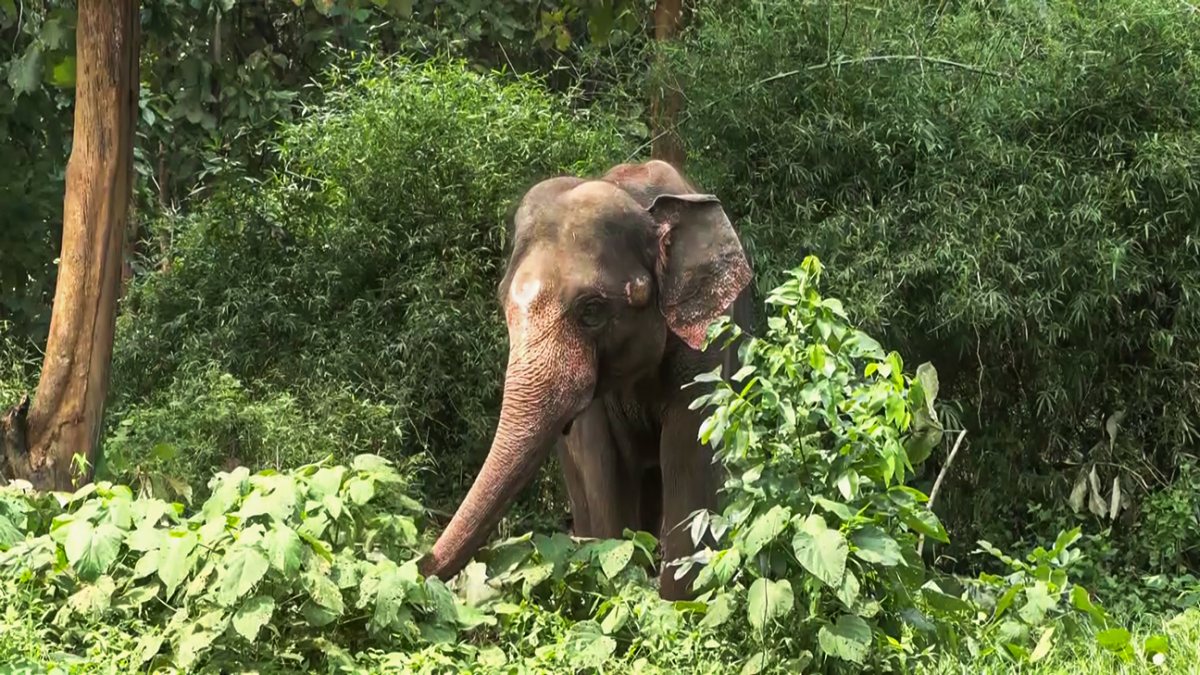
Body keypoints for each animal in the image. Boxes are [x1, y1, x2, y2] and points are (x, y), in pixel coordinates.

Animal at [419, 159, 754, 600]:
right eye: (502, 300)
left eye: (592, 309)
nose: (419, 566)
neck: (638, 199)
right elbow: (602, 466)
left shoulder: (706, 340)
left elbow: (689, 457)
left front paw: (678, 606)